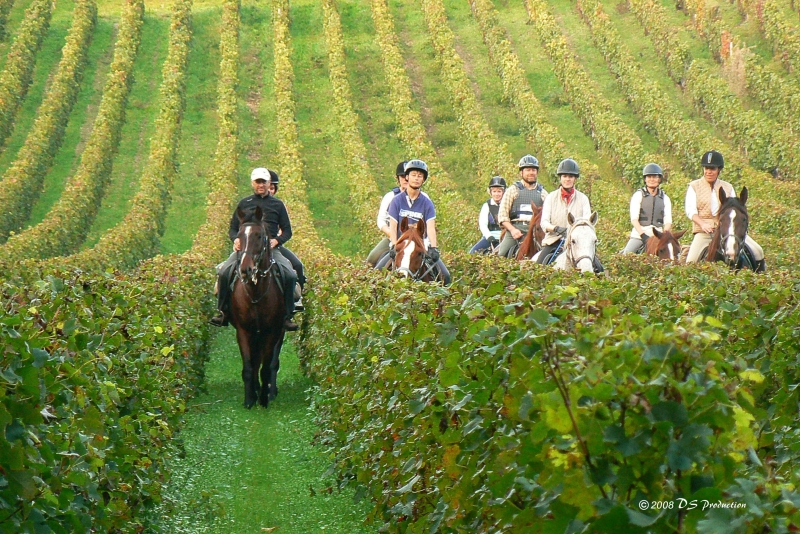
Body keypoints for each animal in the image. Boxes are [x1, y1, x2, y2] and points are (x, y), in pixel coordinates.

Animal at [230, 206, 286, 410]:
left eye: (260, 236)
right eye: (239, 235)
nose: (246, 269)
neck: (255, 293)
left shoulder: (272, 331)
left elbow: (266, 367)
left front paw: (263, 399)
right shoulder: (243, 331)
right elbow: (249, 366)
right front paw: (249, 399)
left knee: (271, 363)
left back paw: (270, 391)